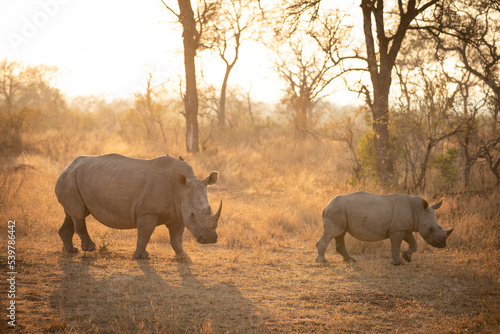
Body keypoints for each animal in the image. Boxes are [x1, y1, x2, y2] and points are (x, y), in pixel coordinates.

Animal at [53, 155, 222, 260]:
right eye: (193, 215)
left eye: (210, 209)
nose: (210, 239)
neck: (181, 187)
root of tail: (67, 166)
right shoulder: (148, 212)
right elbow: (145, 233)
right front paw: (141, 257)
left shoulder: (178, 213)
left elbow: (176, 237)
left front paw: (183, 256)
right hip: (69, 178)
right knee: (78, 214)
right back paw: (90, 248)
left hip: (75, 179)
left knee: (71, 214)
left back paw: (71, 251)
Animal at [316, 190, 454, 266]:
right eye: (431, 229)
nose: (443, 244)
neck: (419, 210)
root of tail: (326, 206)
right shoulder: (397, 230)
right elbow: (396, 246)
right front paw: (398, 263)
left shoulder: (405, 228)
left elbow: (414, 243)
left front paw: (407, 257)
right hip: (336, 210)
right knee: (332, 233)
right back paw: (323, 261)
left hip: (339, 210)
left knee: (341, 234)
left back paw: (350, 260)